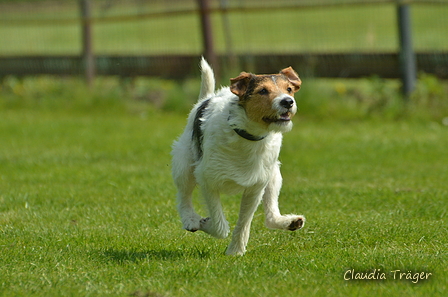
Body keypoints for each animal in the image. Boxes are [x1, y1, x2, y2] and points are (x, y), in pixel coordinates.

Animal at [172, 57, 304, 254]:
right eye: (263, 91)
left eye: (289, 89)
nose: (288, 102)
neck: (247, 136)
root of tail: (206, 98)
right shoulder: (208, 181)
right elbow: (219, 226)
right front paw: (205, 223)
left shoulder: (256, 187)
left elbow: (244, 222)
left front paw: (235, 252)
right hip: (184, 166)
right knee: (184, 196)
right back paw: (191, 219)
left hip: (273, 175)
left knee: (270, 215)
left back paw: (289, 221)